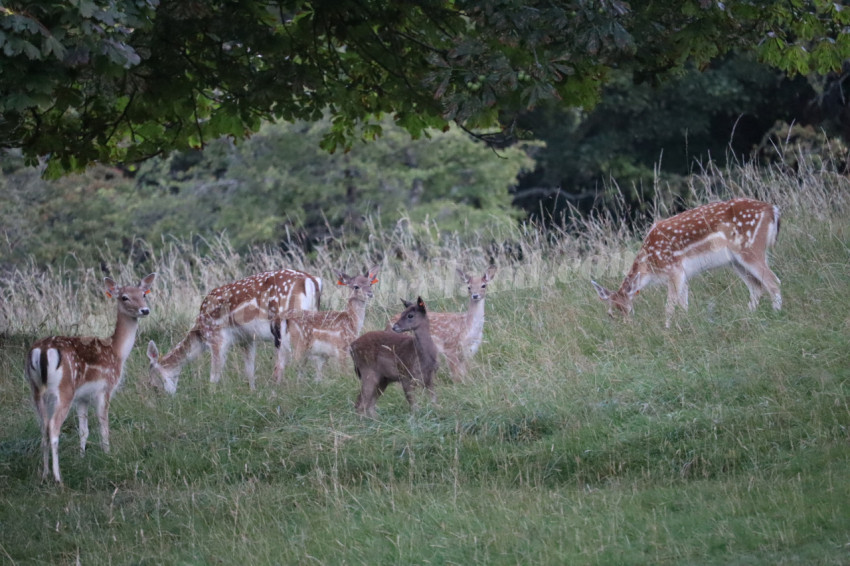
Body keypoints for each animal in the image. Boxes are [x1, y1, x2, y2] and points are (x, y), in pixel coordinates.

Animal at [24, 273, 157, 483]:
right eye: (124, 297)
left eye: (144, 294)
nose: (145, 310)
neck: (117, 352)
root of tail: (43, 350)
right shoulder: (105, 387)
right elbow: (103, 425)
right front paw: (108, 454)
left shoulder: (83, 397)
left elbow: (83, 430)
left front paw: (82, 457)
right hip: (64, 390)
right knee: (53, 427)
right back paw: (58, 478)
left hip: (36, 390)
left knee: (43, 426)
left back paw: (44, 474)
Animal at [146, 269, 321, 394]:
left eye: (154, 386)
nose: (164, 398)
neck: (200, 333)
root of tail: (310, 281)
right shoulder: (247, 339)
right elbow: (249, 369)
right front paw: (252, 392)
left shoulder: (216, 336)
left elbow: (215, 373)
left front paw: (211, 396)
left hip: (283, 323)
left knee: (287, 358)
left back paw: (280, 389)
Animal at [591, 198, 782, 328]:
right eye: (610, 314)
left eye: (629, 309)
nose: (626, 327)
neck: (650, 266)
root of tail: (772, 209)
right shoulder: (683, 275)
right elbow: (684, 304)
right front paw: (685, 325)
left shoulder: (674, 269)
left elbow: (670, 306)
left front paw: (667, 329)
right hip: (736, 261)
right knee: (757, 286)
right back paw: (748, 317)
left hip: (750, 248)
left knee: (773, 281)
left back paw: (776, 314)